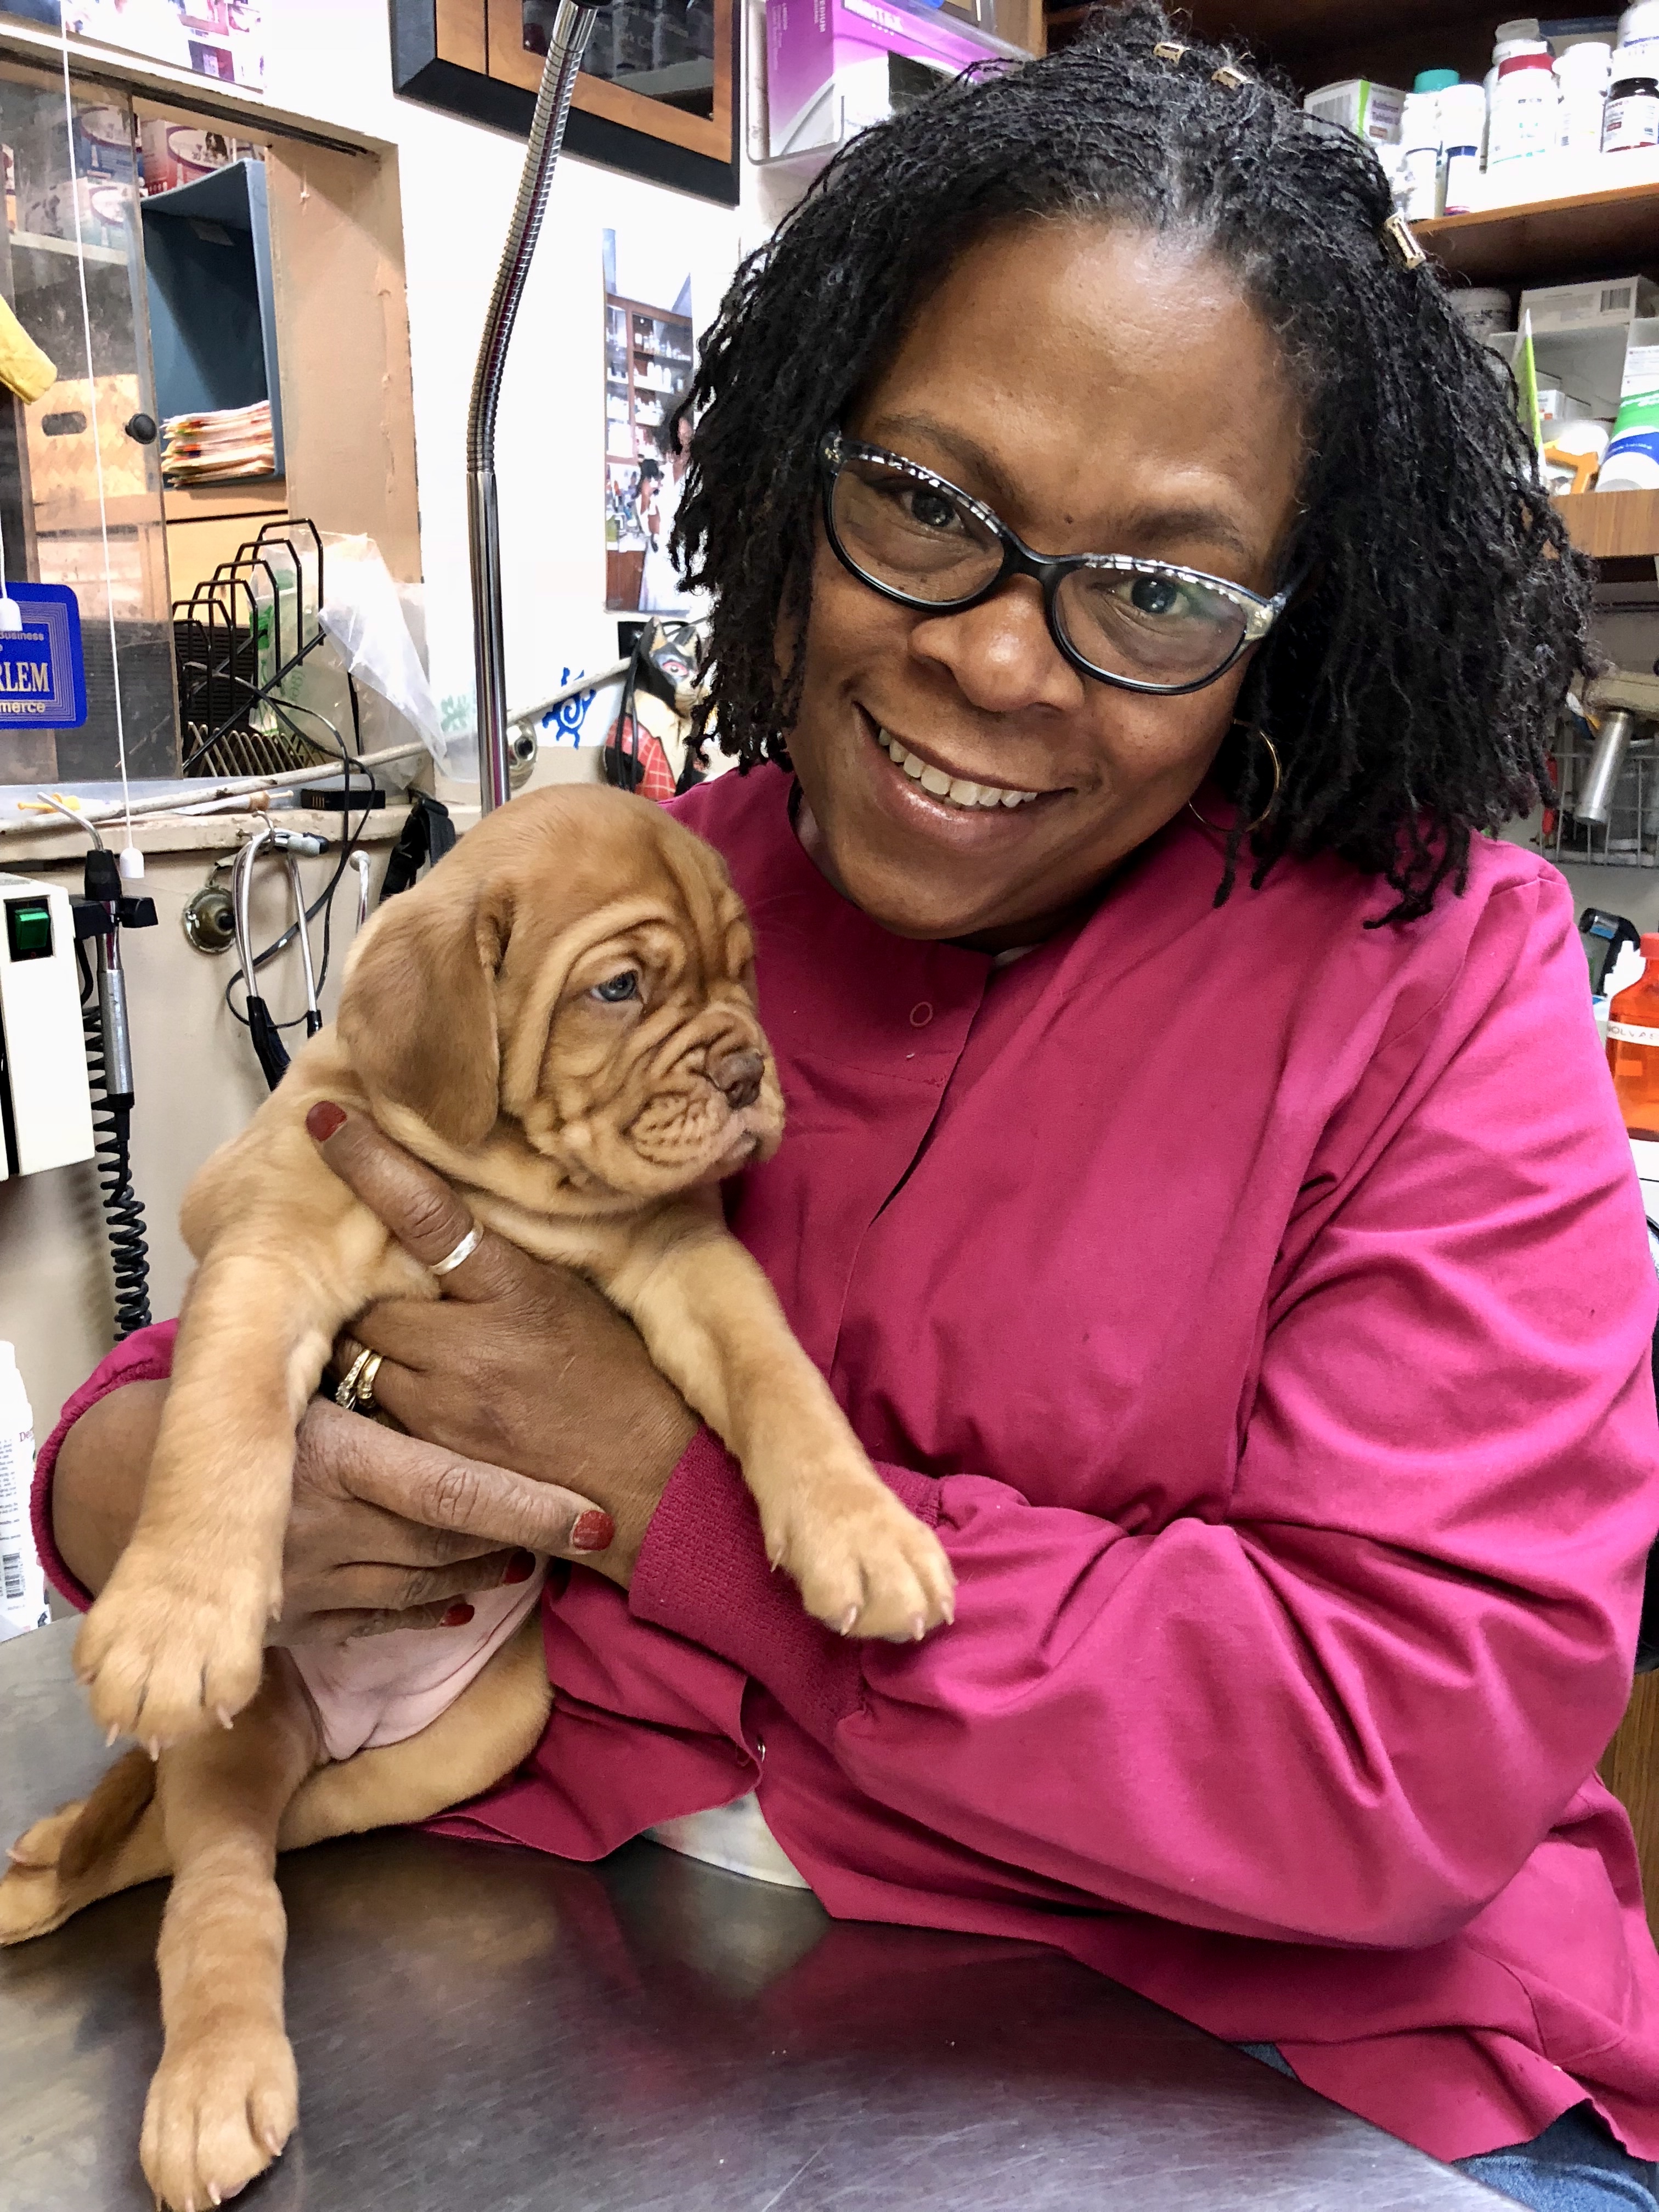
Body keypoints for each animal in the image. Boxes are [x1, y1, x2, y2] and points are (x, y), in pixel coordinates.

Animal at [0, 796, 955, 2212]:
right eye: (618, 989)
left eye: (746, 976)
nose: (745, 1074)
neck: (506, 1183)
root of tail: (335, 1727)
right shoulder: (265, 1244)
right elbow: (220, 1419)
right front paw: (172, 1620)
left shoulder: (692, 1259)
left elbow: (779, 1378)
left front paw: (865, 1533)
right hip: (240, 1735)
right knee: (215, 1882)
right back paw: (200, 2067)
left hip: (463, 1748)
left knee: (241, 1838)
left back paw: (64, 1881)